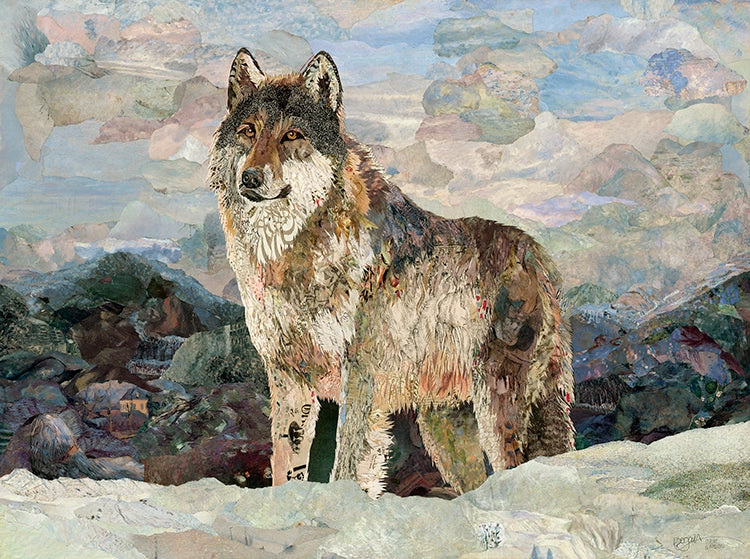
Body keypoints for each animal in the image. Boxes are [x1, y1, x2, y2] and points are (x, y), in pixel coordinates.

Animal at [208, 48, 575, 496]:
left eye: (291, 136)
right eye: (248, 131)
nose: (250, 177)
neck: (293, 254)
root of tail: (537, 254)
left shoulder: (360, 375)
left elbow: (347, 461)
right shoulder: (288, 377)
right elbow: (285, 464)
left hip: (498, 408)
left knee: (516, 466)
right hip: (445, 430)